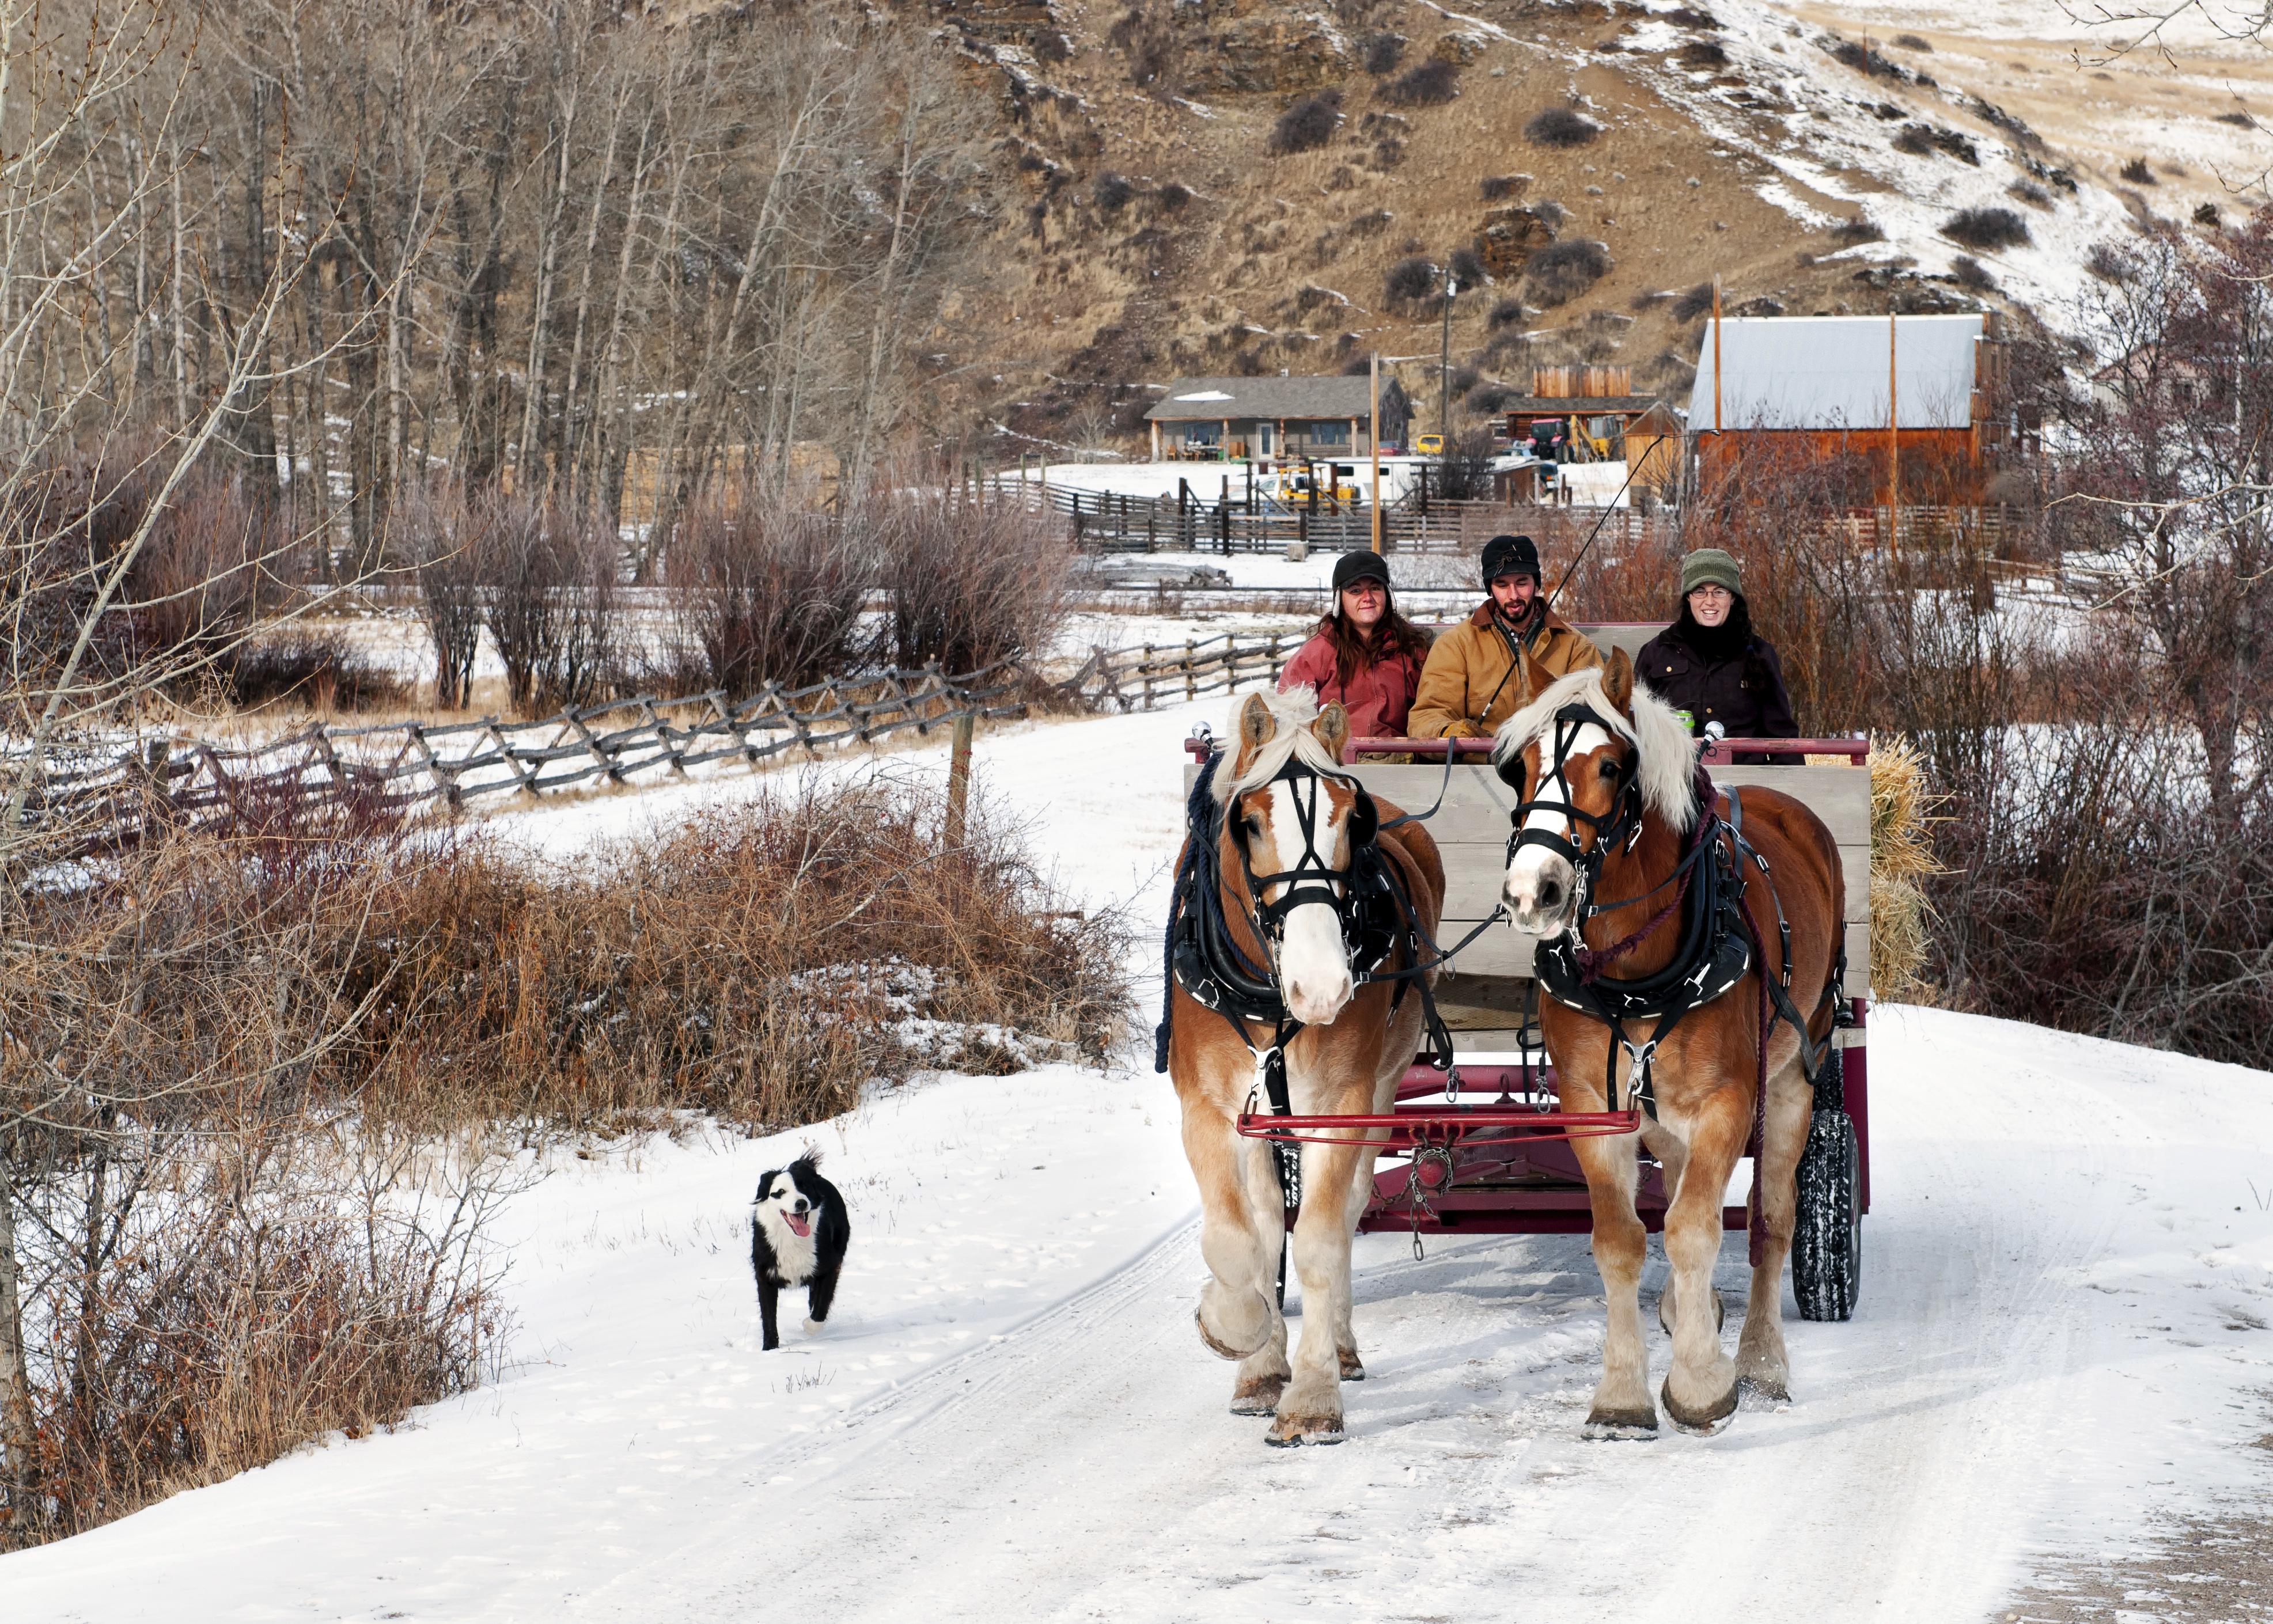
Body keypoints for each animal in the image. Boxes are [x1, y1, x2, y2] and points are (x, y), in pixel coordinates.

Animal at [1164, 686, 1445, 1444]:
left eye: (1351, 816)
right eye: (1250, 824)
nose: (1321, 989)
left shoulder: (1340, 1103)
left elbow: (1318, 1238)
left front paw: (1314, 1396)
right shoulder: (1209, 1107)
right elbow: (1235, 1238)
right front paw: (1240, 1336)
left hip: (1380, 1087)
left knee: (1347, 1211)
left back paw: (1340, 1348)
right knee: (1265, 1218)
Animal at [1491, 650, 1846, 1435]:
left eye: (1610, 767)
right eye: (1519, 766)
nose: (1534, 891)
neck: (1632, 972)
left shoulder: (1728, 1099)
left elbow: (1693, 1229)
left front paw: (1701, 1383)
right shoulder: (1594, 1105)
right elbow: (1623, 1238)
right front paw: (1623, 1393)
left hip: (1794, 1075)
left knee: (1771, 1221)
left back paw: (1760, 1360)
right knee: (1684, 1185)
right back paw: (1692, 1311)